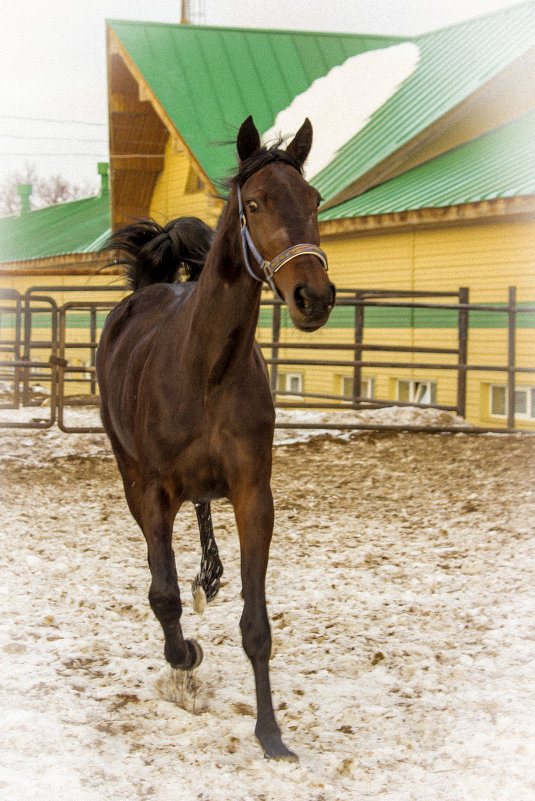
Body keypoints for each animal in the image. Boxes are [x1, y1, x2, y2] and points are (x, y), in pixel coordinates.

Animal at [96, 115, 336, 760]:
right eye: (254, 204)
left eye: (314, 200)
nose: (314, 298)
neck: (206, 369)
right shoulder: (153, 493)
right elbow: (162, 594)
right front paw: (185, 660)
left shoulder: (254, 493)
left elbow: (257, 625)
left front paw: (271, 735)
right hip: (131, 476)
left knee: (204, 518)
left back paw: (210, 574)